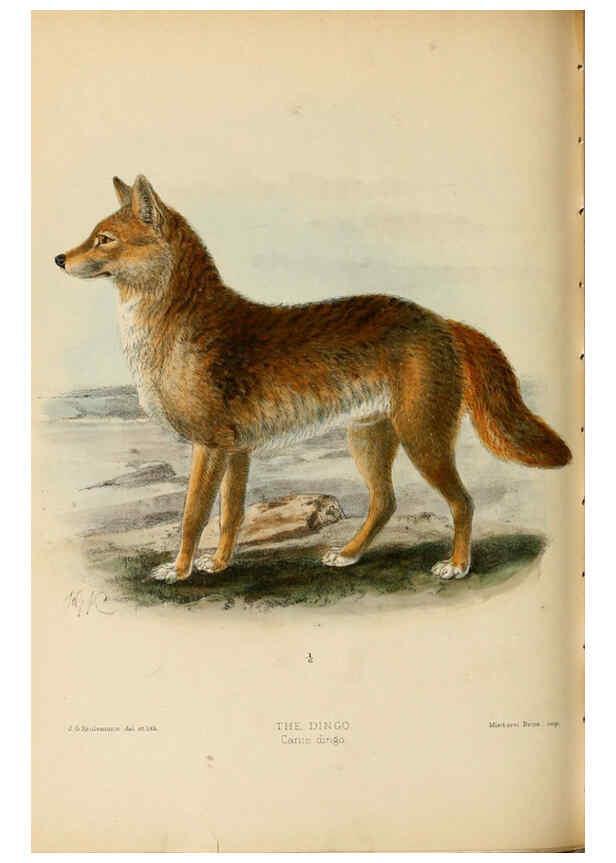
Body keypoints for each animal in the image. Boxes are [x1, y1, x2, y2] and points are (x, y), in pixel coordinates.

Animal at [55, 175, 572, 584]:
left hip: (421, 437)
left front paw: (178, 571)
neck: (179, 321)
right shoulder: (236, 450)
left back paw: (457, 565)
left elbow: (192, 517)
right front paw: (218, 565)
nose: (59, 259)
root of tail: (440, 321)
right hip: (369, 437)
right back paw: (348, 555)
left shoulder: (210, 447)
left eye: (104, 239)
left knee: (462, 503)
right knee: (385, 503)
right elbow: (230, 516)